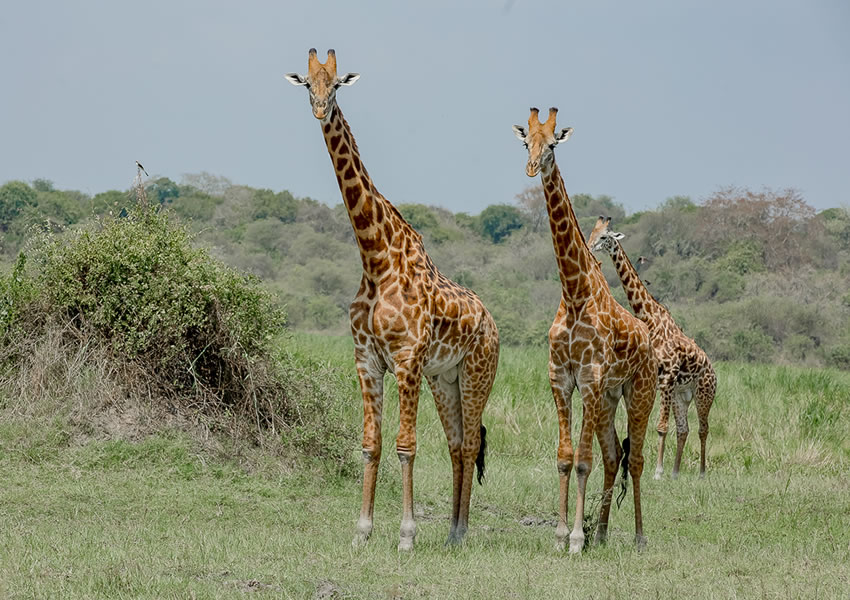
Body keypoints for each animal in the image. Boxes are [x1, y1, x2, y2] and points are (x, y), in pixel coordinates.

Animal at [284, 49, 496, 552]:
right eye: (307, 84)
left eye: (336, 84)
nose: (319, 109)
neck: (375, 257)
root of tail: (493, 323)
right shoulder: (367, 359)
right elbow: (371, 444)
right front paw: (362, 531)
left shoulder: (406, 360)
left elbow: (405, 446)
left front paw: (406, 535)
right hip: (445, 379)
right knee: (458, 445)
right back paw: (453, 532)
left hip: (477, 373)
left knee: (471, 444)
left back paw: (460, 532)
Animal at [510, 109, 656, 552]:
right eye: (527, 142)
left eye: (553, 144)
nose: (531, 168)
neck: (574, 292)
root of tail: (649, 339)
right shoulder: (561, 378)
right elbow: (564, 457)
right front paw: (560, 535)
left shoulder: (589, 378)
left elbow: (582, 462)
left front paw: (576, 538)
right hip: (609, 399)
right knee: (613, 456)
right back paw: (604, 532)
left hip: (639, 393)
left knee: (635, 459)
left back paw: (639, 537)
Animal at [584, 218, 716, 480]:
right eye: (592, 232)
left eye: (604, 237)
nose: (590, 247)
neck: (649, 317)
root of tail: (713, 371)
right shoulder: (654, 379)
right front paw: (655, 470)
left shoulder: (667, 377)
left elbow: (661, 427)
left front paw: (657, 471)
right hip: (681, 395)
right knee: (684, 429)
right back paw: (675, 472)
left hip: (704, 394)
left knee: (703, 429)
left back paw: (701, 473)